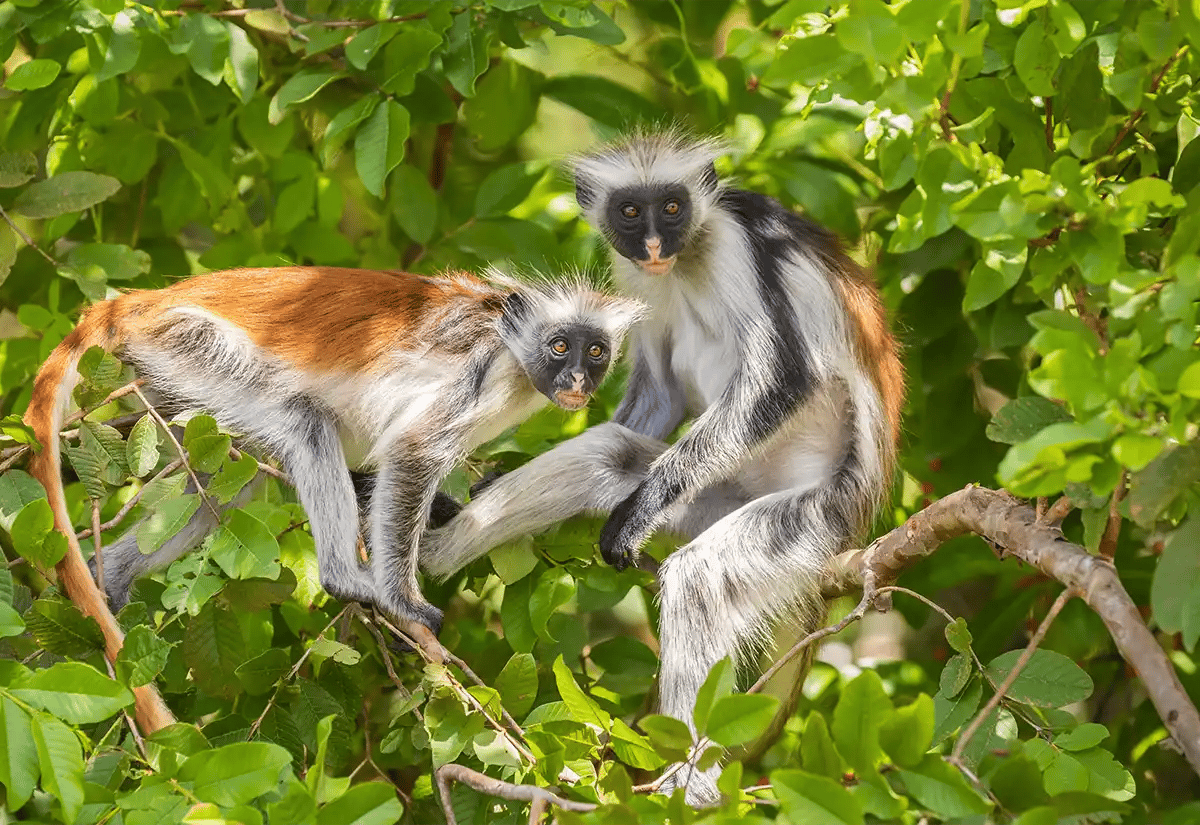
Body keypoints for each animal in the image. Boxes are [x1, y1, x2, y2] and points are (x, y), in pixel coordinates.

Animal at [23, 265, 643, 732]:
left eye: (594, 351)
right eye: (559, 346)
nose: (577, 380)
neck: (510, 342)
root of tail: (141, 302)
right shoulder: (479, 371)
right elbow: (411, 452)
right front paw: (403, 601)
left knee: (229, 484)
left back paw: (113, 575)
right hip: (187, 343)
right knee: (305, 421)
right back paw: (345, 578)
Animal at [419, 133, 904, 804]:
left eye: (672, 208)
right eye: (631, 211)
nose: (653, 244)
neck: (686, 258)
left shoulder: (736, 243)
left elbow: (784, 379)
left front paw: (639, 512)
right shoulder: (634, 278)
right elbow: (659, 395)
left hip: (816, 512)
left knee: (700, 577)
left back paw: (691, 788)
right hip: (714, 495)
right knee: (608, 454)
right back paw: (430, 551)